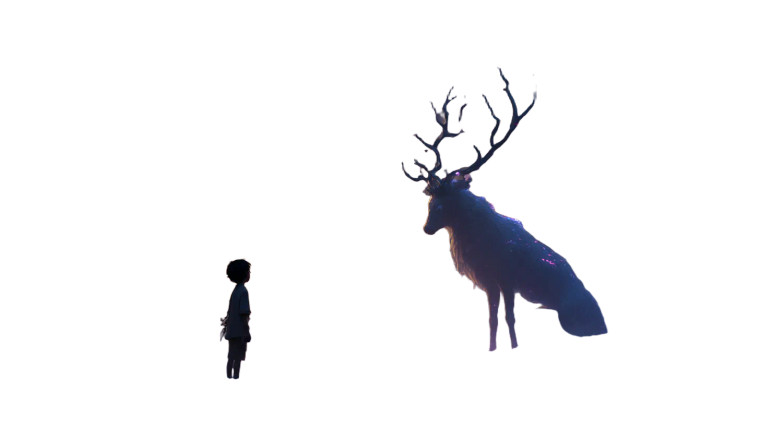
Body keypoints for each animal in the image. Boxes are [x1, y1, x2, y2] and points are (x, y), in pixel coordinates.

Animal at [402, 69, 607, 351]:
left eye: (444, 203)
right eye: (430, 203)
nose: (426, 228)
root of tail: (605, 324)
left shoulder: (506, 280)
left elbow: (509, 318)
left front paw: (513, 347)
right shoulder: (490, 282)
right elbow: (492, 320)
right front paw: (492, 348)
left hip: (569, 320)